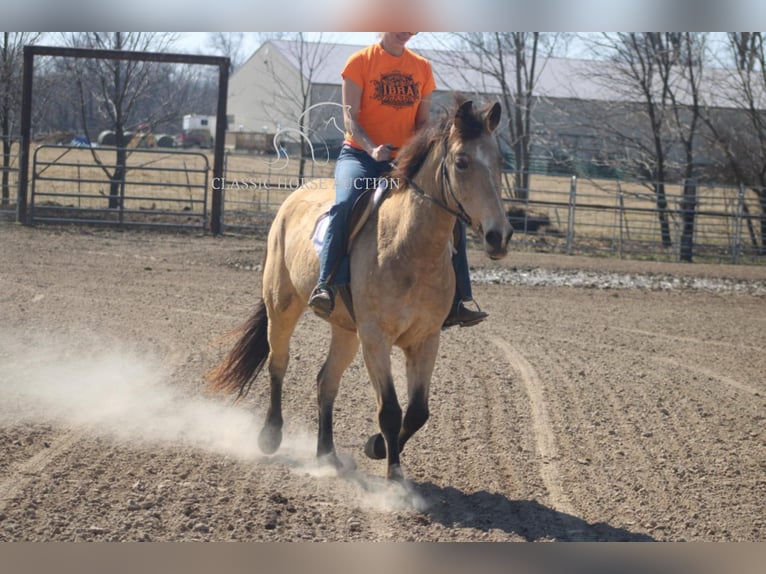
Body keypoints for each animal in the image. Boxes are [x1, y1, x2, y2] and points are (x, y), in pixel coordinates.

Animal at [207, 98, 512, 482]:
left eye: (499, 161)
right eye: (462, 162)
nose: (499, 235)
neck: (408, 245)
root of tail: (292, 200)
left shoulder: (426, 339)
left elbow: (417, 412)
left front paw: (377, 447)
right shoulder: (376, 338)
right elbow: (391, 410)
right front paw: (394, 475)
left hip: (346, 330)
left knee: (326, 381)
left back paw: (327, 454)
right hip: (282, 307)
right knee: (278, 364)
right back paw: (271, 436)